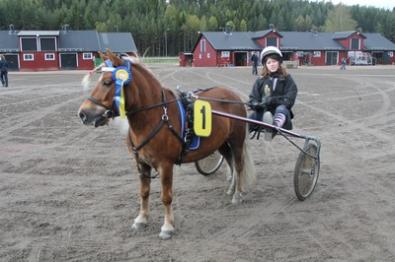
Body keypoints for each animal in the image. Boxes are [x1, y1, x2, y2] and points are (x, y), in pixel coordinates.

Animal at [77, 49, 256, 239]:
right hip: (221, 143)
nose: (83, 113)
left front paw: (168, 226)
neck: (155, 117)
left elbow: (166, 196)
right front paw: (141, 219)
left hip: (236, 142)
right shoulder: (141, 163)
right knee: (230, 162)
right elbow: (144, 192)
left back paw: (237, 194)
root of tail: (233, 96)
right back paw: (232, 189)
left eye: (107, 82)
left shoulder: (166, 164)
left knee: (238, 166)